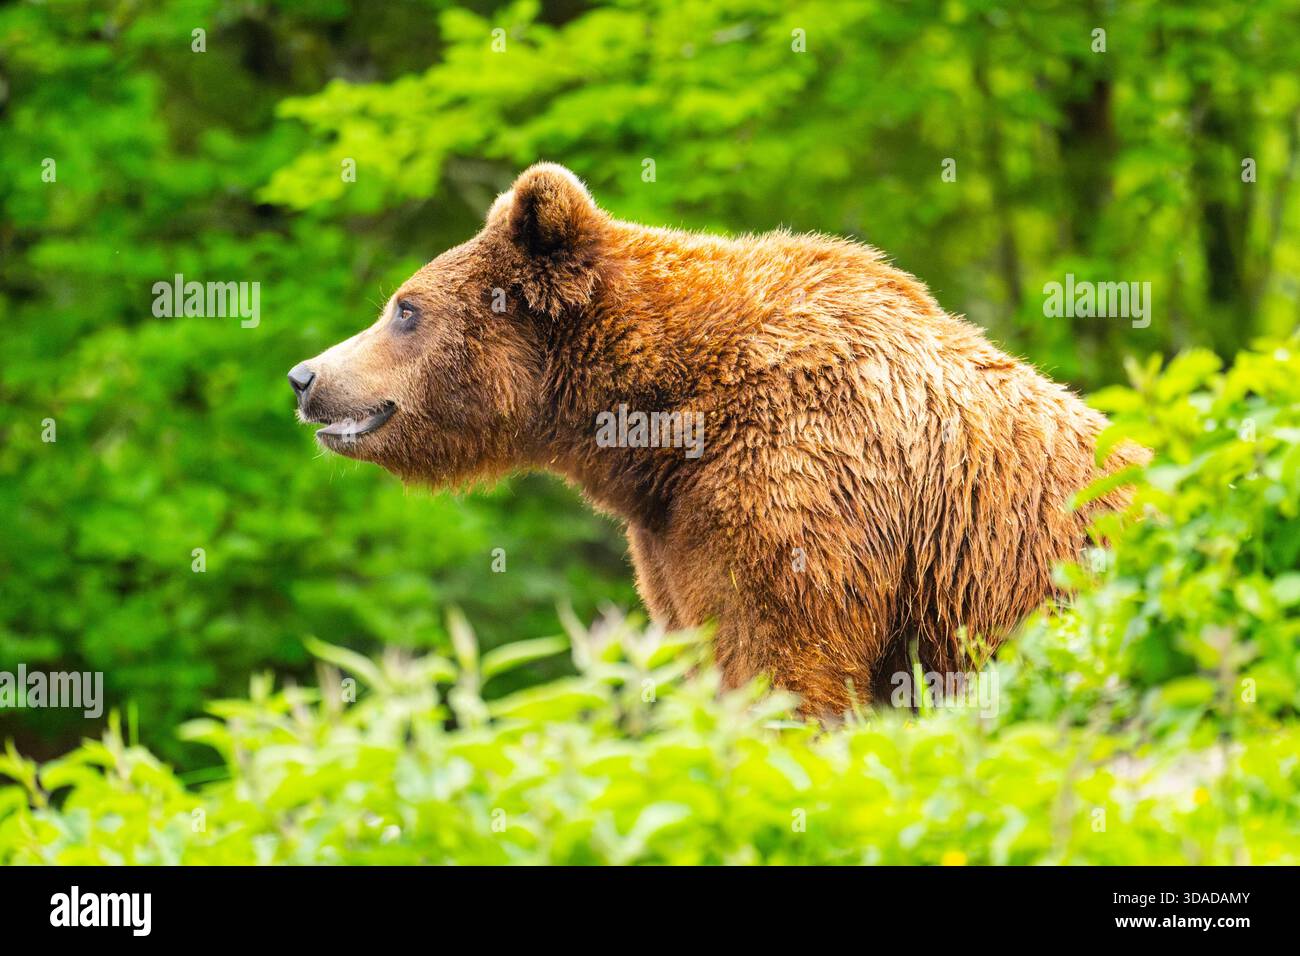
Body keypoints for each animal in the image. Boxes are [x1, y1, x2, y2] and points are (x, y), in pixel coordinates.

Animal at [289, 162, 1145, 715]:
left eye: (404, 308)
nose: (305, 375)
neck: (662, 426)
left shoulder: (801, 492)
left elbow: (784, 663)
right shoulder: (676, 536)